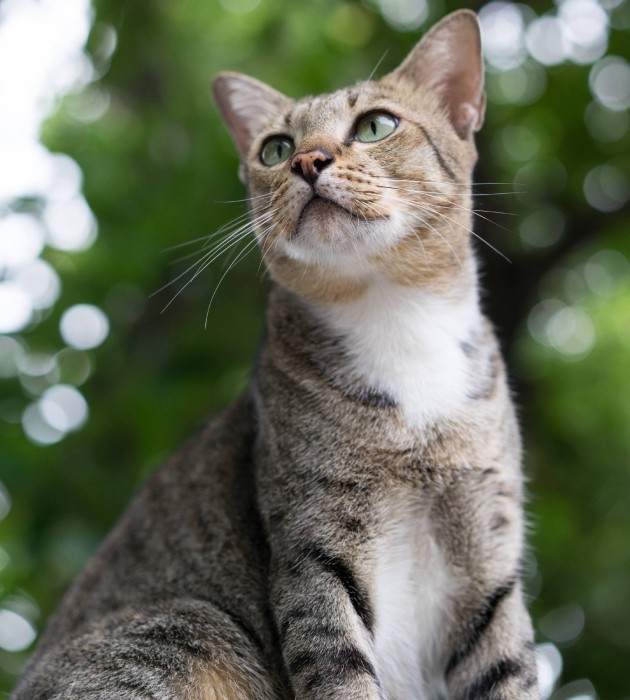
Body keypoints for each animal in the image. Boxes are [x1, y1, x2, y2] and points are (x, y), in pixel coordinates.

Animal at [11, 9, 540, 700]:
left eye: (376, 125)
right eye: (276, 149)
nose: (309, 160)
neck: (398, 322)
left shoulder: (488, 557)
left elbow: (509, 672)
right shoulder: (314, 552)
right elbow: (341, 674)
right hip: (190, 624)